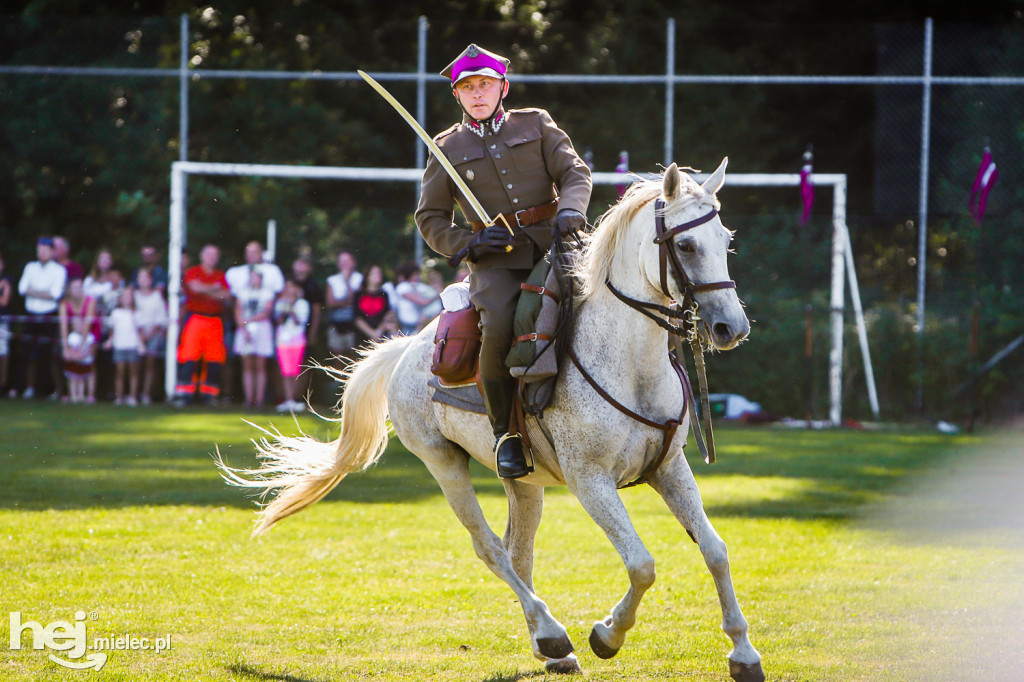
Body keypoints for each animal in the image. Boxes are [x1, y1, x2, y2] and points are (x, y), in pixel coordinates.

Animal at [220, 160, 765, 679]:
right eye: (686, 244)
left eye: (726, 240)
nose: (731, 327)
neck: (629, 362)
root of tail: (407, 348)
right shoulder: (590, 481)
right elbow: (642, 565)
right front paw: (607, 634)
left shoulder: (669, 469)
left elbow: (715, 550)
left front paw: (743, 652)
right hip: (444, 465)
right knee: (490, 549)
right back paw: (552, 635)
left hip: (525, 482)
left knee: (517, 550)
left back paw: (550, 648)